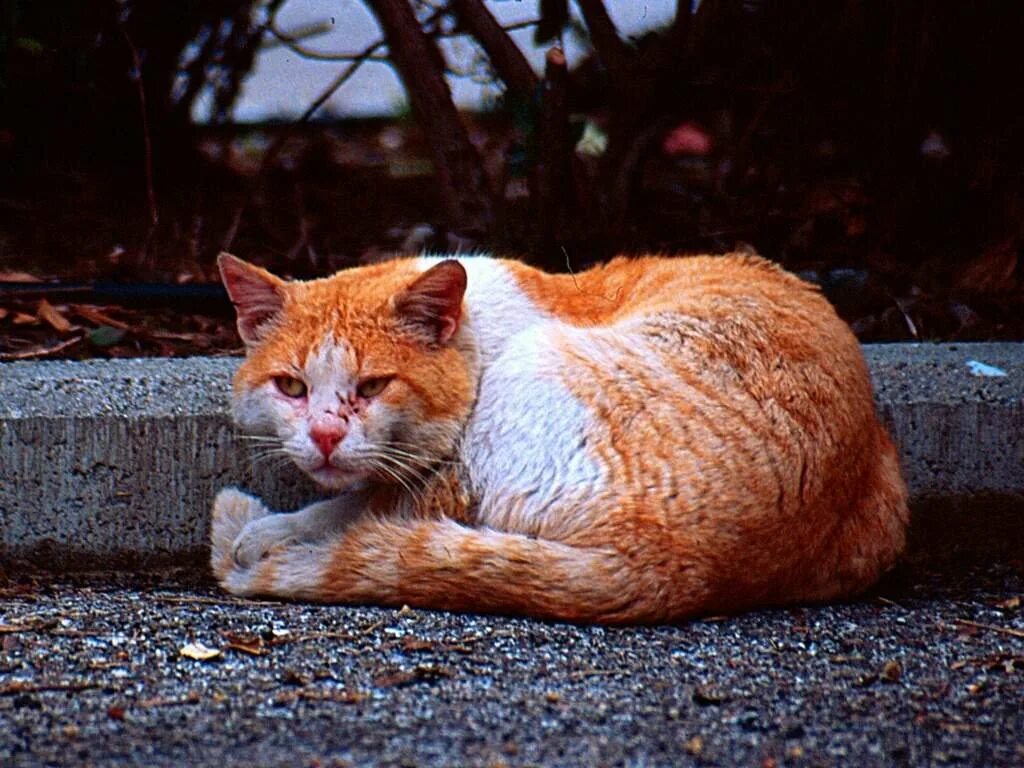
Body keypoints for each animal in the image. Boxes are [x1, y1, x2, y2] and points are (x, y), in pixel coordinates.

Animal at [205, 252, 905, 626]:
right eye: (291, 387)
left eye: (373, 386)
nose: (324, 433)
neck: (479, 333)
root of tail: (682, 568)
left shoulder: (449, 468)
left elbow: (356, 504)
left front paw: (268, 534)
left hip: (533, 372)